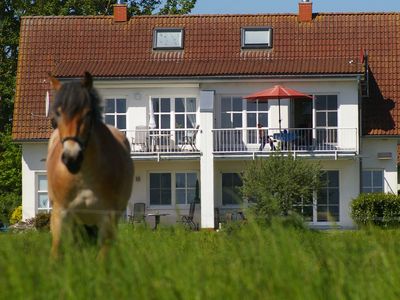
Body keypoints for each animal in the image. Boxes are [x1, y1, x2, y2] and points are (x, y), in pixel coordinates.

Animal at [46, 72, 134, 258]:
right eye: (56, 115)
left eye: (87, 113)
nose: (72, 158)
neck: (83, 176)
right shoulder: (60, 213)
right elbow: (56, 251)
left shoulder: (107, 217)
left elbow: (103, 256)